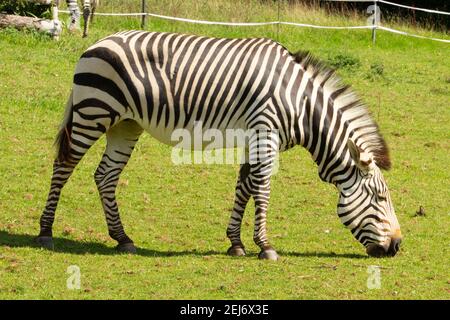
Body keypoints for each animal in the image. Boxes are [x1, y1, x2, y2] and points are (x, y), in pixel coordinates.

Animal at [34, 30, 400, 260]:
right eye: (380, 197)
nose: (397, 246)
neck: (302, 105)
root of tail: (98, 41)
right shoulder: (265, 130)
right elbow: (262, 188)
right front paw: (265, 246)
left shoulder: (255, 137)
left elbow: (244, 185)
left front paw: (236, 243)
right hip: (94, 111)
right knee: (63, 165)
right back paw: (46, 231)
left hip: (126, 124)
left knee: (105, 176)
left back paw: (123, 238)